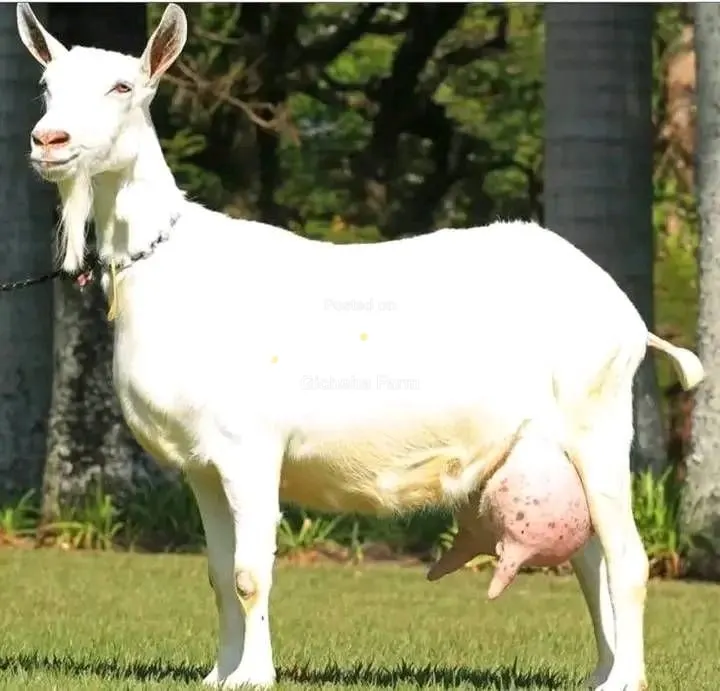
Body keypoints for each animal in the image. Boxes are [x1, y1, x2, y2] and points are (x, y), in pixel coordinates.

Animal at [16, 4, 704, 690]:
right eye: (47, 87)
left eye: (122, 87)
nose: (49, 141)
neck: (166, 264)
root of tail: (625, 316)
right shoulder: (201, 464)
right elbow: (217, 573)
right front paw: (218, 675)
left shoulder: (249, 448)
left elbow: (249, 574)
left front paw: (253, 677)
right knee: (590, 560)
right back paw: (604, 673)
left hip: (599, 418)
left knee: (627, 559)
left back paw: (626, 678)